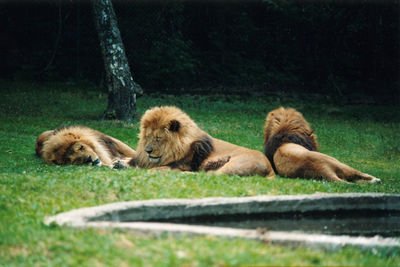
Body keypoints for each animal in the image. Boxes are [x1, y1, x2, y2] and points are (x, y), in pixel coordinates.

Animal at [130, 105, 276, 179]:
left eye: (158, 138)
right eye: (147, 136)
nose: (147, 150)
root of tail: (270, 167)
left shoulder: (181, 164)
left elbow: (156, 168)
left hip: (235, 164)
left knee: (211, 175)